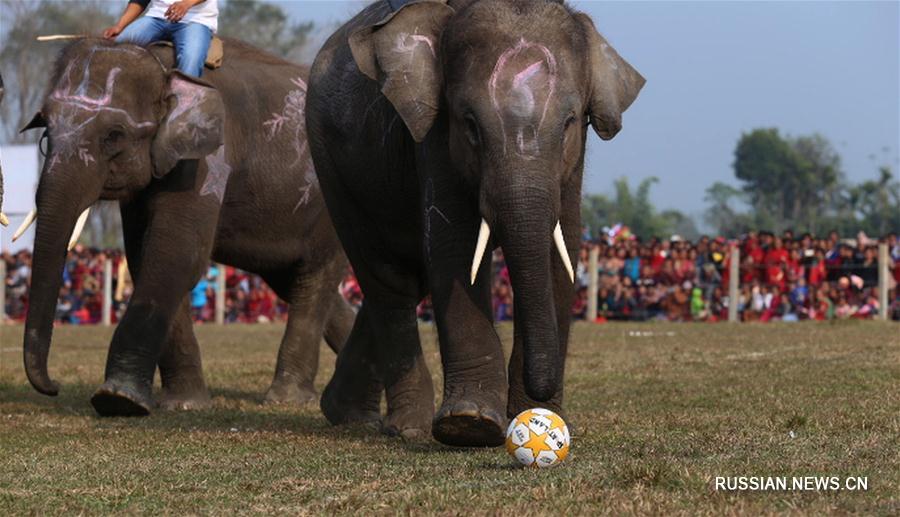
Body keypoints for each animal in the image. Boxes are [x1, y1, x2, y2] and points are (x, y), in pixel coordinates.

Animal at [19, 37, 354, 416]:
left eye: (114, 135)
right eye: (46, 130)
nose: (53, 388)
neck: (162, 64)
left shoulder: (207, 161)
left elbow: (176, 255)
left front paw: (118, 400)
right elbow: (146, 258)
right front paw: (184, 404)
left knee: (314, 279)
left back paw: (288, 399)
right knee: (291, 281)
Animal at [306, 0, 644, 444]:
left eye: (570, 122)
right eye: (470, 125)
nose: (540, 399)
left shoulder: (573, 161)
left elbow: (562, 249)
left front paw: (542, 414)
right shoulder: (433, 135)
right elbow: (455, 245)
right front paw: (470, 424)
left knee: (409, 278)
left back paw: (347, 414)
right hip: (334, 168)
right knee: (388, 281)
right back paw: (408, 427)